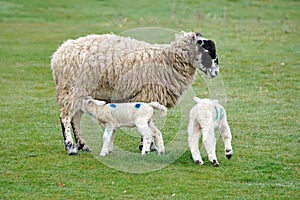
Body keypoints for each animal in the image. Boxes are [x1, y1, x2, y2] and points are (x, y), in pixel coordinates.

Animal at [51, 30, 219, 155]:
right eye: (208, 50)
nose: (216, 73)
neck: (168, 60)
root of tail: (58, 54)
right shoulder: (147, 94)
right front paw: (148, 146)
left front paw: (149, 146)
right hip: (72, 88)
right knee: (65, 117)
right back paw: (71, 147)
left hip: (81, 92)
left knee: (75, 119)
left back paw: (83, 145)